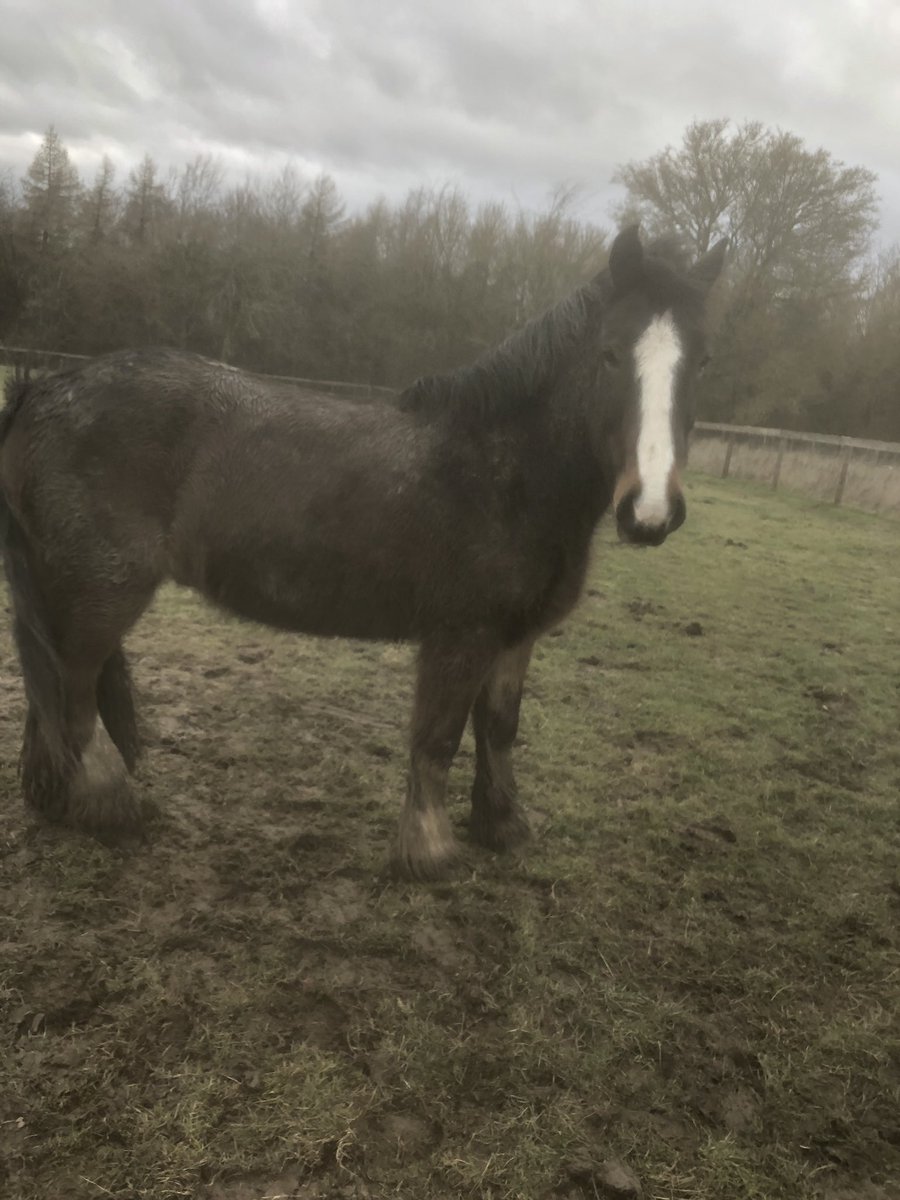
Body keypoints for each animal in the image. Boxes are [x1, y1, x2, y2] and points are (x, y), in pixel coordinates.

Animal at [0, 225, 726, 879]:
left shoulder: (515, 636)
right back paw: (109, 807)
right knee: (72, 687)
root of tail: (44, 388)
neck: (506, 471)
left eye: (703, 362)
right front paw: (428, 854)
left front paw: (502, 827)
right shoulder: (460, 634)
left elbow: (498, 727)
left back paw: (56, 800)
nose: (649, 512)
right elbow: (437, 737)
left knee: (54, 691)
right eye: (610, 355)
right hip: (101, 589)